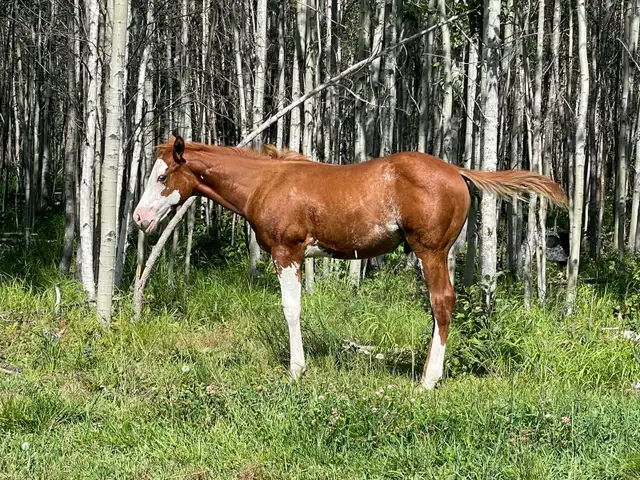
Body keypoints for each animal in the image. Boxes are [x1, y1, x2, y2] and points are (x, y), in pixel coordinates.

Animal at [133, 136, 567, 389]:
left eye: (162, 177)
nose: (139, 218)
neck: (266, 183)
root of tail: (457, 171)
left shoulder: (286, 252)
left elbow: (291, 309)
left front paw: (296, 369)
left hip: (431, 251)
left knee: (442, 303)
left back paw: (428, 381)